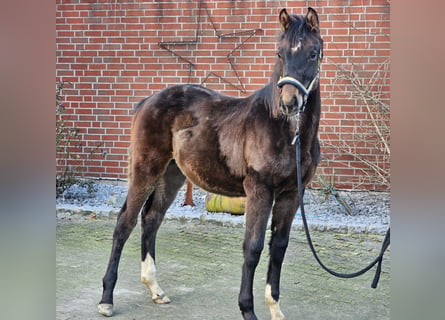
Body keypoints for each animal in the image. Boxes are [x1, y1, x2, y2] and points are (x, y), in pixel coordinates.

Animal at [99, 7, 322, 320]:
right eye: (279, 53)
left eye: (313, 53)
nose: (290, 102)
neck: (284, 131)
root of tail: (147, 101)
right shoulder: (260, 191)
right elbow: (253, 247)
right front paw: (247, 310)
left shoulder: (291, 194)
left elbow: (278, 247)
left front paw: (275, 309)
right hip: (146, 170)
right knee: (125, 222)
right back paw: (106, 299)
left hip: (171, 175)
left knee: (151, 219)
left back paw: (156, 290)